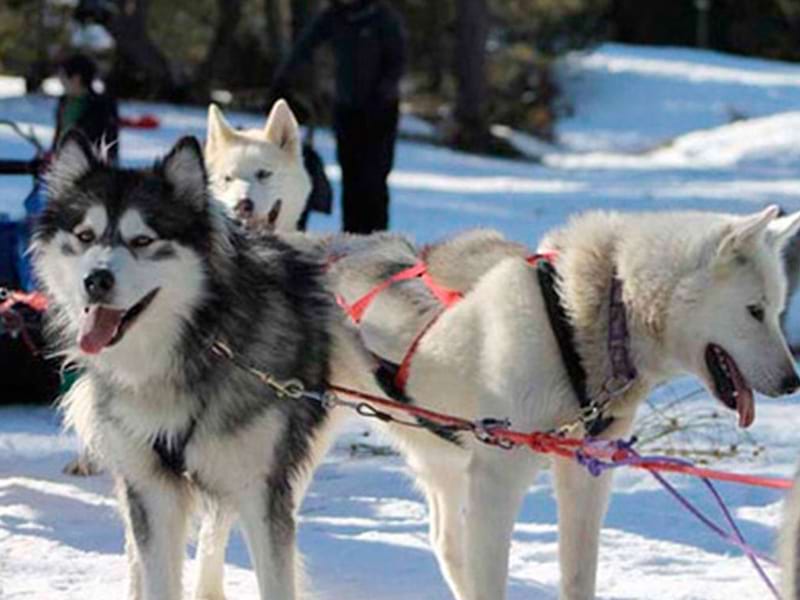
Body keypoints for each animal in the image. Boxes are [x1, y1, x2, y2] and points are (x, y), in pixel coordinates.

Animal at [36, 134, 386, 600]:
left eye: (143, 240)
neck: (189, 348)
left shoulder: (259, 488)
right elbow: (157, 575)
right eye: (85, 235)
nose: (96, 280)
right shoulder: (151, 491)